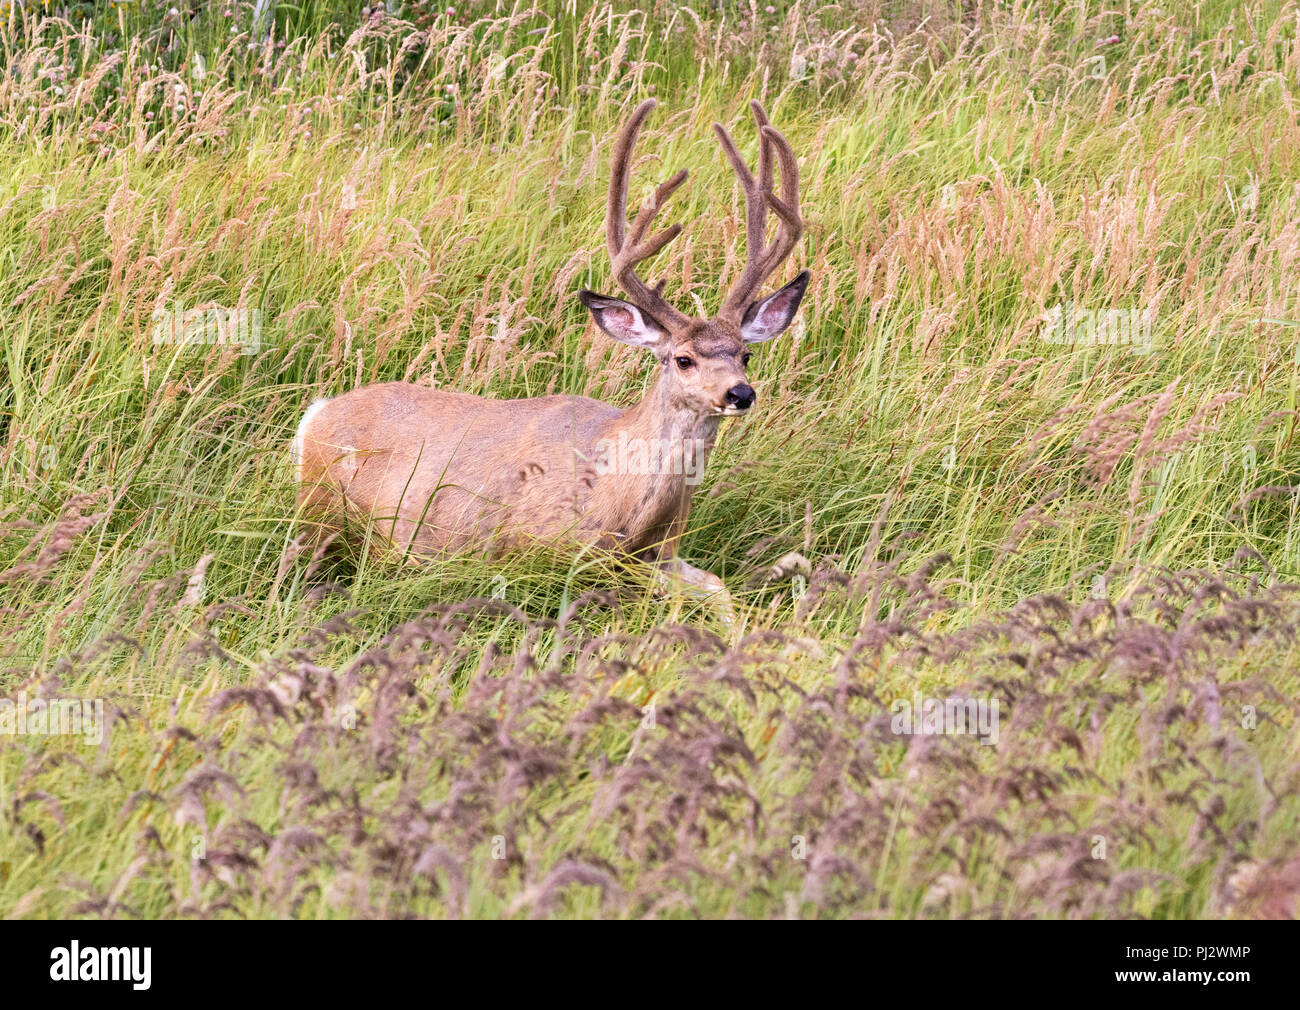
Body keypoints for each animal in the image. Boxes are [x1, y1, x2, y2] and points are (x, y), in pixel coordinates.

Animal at [292, 98, 808, 623]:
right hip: (321, 511)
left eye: (745, 354)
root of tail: (317, 415)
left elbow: (718, 589)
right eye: (683, 359)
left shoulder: (662, 553)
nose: (740, 393)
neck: (622, 498)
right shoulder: (540, 550)